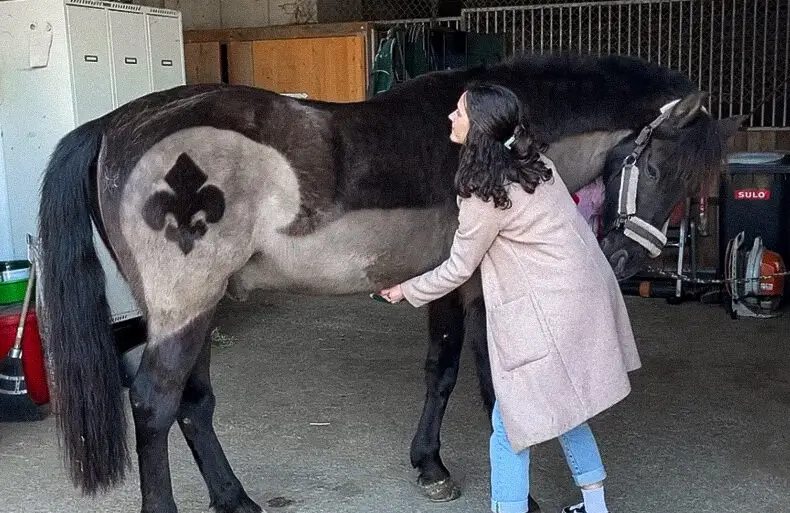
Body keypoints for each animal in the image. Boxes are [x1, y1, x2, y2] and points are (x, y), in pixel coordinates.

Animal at [37, 52, 744, 513]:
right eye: (657, 166)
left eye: (691, 187)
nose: (623, 260)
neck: (490, 148)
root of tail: (112, 126)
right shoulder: (470, 288)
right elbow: (474, 377)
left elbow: (441, 371)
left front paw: (429, 464)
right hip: (185, 308)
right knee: (154, 404)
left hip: (200, 310)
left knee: (193, 403)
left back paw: (235, 500)